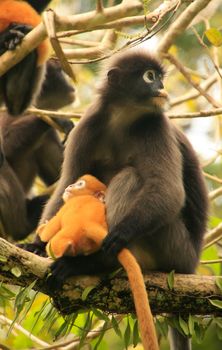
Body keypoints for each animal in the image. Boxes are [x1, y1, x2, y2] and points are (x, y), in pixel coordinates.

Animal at [38, 175, 160, 350]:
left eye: (80, 184)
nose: (70, 186)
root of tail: (90, 224)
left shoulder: (67, 208)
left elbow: (49, 231)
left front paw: (42, 230)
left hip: (66, 235)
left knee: (55, 242)